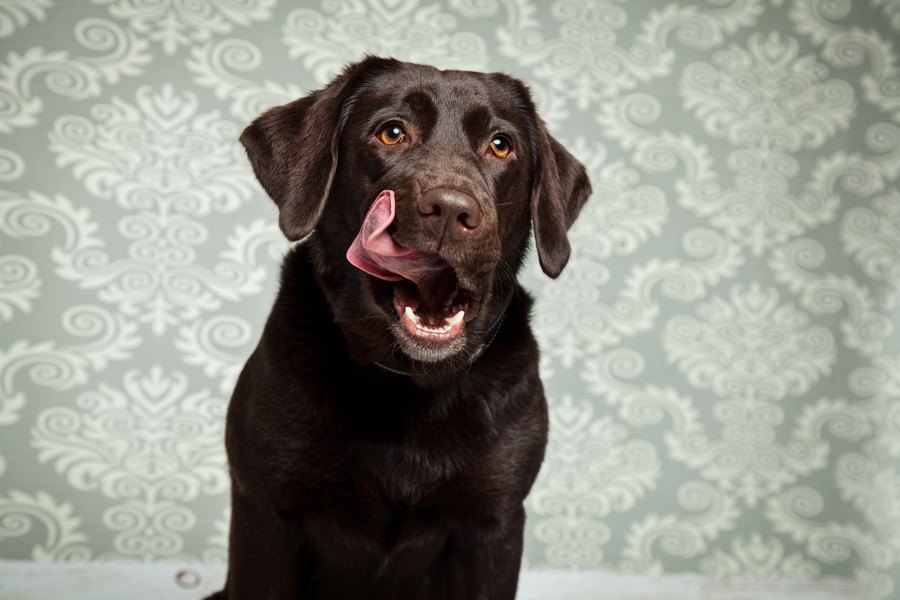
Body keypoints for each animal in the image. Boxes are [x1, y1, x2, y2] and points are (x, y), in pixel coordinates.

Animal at [207, 56, 596, 600]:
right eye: (392, 132)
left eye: (501, 144)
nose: (452, 210)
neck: (408, 383)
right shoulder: (266, 513)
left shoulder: (492, 524)